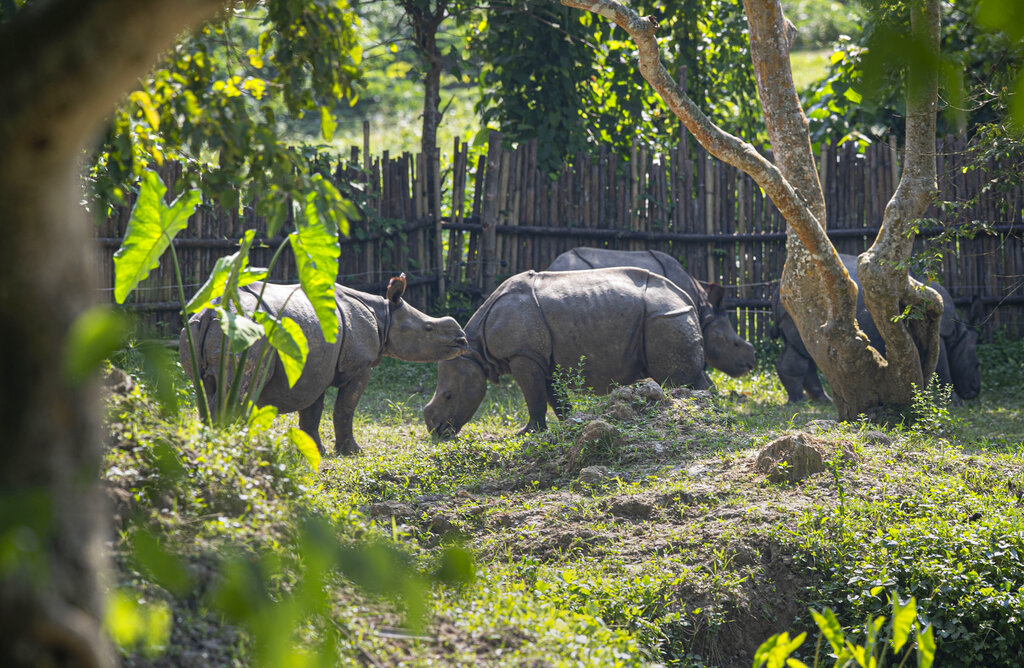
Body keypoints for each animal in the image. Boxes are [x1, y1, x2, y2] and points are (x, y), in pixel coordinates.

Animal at [181, 275, 469, 455]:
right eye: (428, 328)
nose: (462, 340)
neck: (385, 316)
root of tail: (210, 313)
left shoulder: (317, 366)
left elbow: (312, 411)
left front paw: (315, 451)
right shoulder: (360, 365)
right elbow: (345, 408)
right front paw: (353, 452)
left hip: (194, 330)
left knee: (205, 391)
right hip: (245, 333)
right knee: (238, 391)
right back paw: (232, 450)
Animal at [423, 267, 707, 437]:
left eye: (449, 396)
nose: (436, 433)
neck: (476, 349)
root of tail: (687, 298)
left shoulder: (523, 354)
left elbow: (534, 397)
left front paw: (527, 433)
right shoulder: (539, 358)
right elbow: (553, 397)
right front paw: (571, 423)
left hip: (664, 318)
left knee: (677, 379)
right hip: (666, 317)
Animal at [771, 253, 981, 403]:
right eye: (977, 364)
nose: (974, 391)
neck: (959, 332)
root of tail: (778, 289)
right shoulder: (939, 333)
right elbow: (942, 369)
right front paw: (954, 402)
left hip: (797, 305)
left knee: (803, 349)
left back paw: (818, 400)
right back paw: (804, 401)